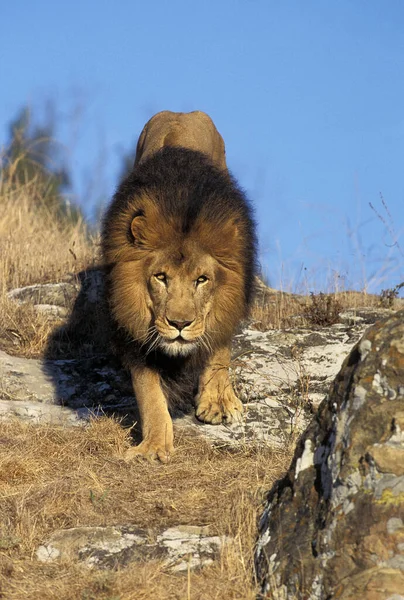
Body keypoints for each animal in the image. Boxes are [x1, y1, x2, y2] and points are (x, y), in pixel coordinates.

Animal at [101, 110, 256, 462]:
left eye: (202, 280)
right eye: (160, 277)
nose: (180, 324)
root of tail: (181, 114)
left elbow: (219, 347)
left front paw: (218, 401)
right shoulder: (132, 327)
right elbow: (148, 390)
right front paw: (153, 446)